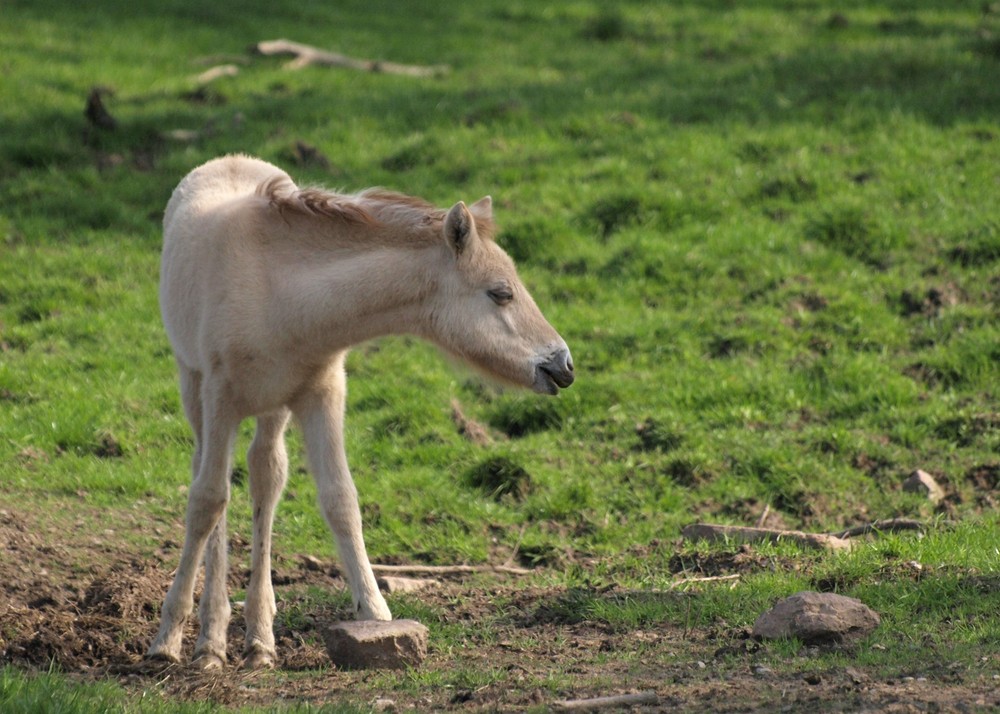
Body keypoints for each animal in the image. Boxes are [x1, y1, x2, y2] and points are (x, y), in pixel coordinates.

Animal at [145, 156, 576, 668]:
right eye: (500, 293)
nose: (563, 364)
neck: (279, 293)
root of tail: (227, 160)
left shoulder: (324, 392)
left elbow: (341, 500)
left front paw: (374, 613)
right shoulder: (220, 398)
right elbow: (207, 502)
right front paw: (174, 639)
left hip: (273, 408)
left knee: (265, 474)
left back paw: (260, 636)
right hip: (193, 385)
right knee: (211, 481)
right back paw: (211, 633)